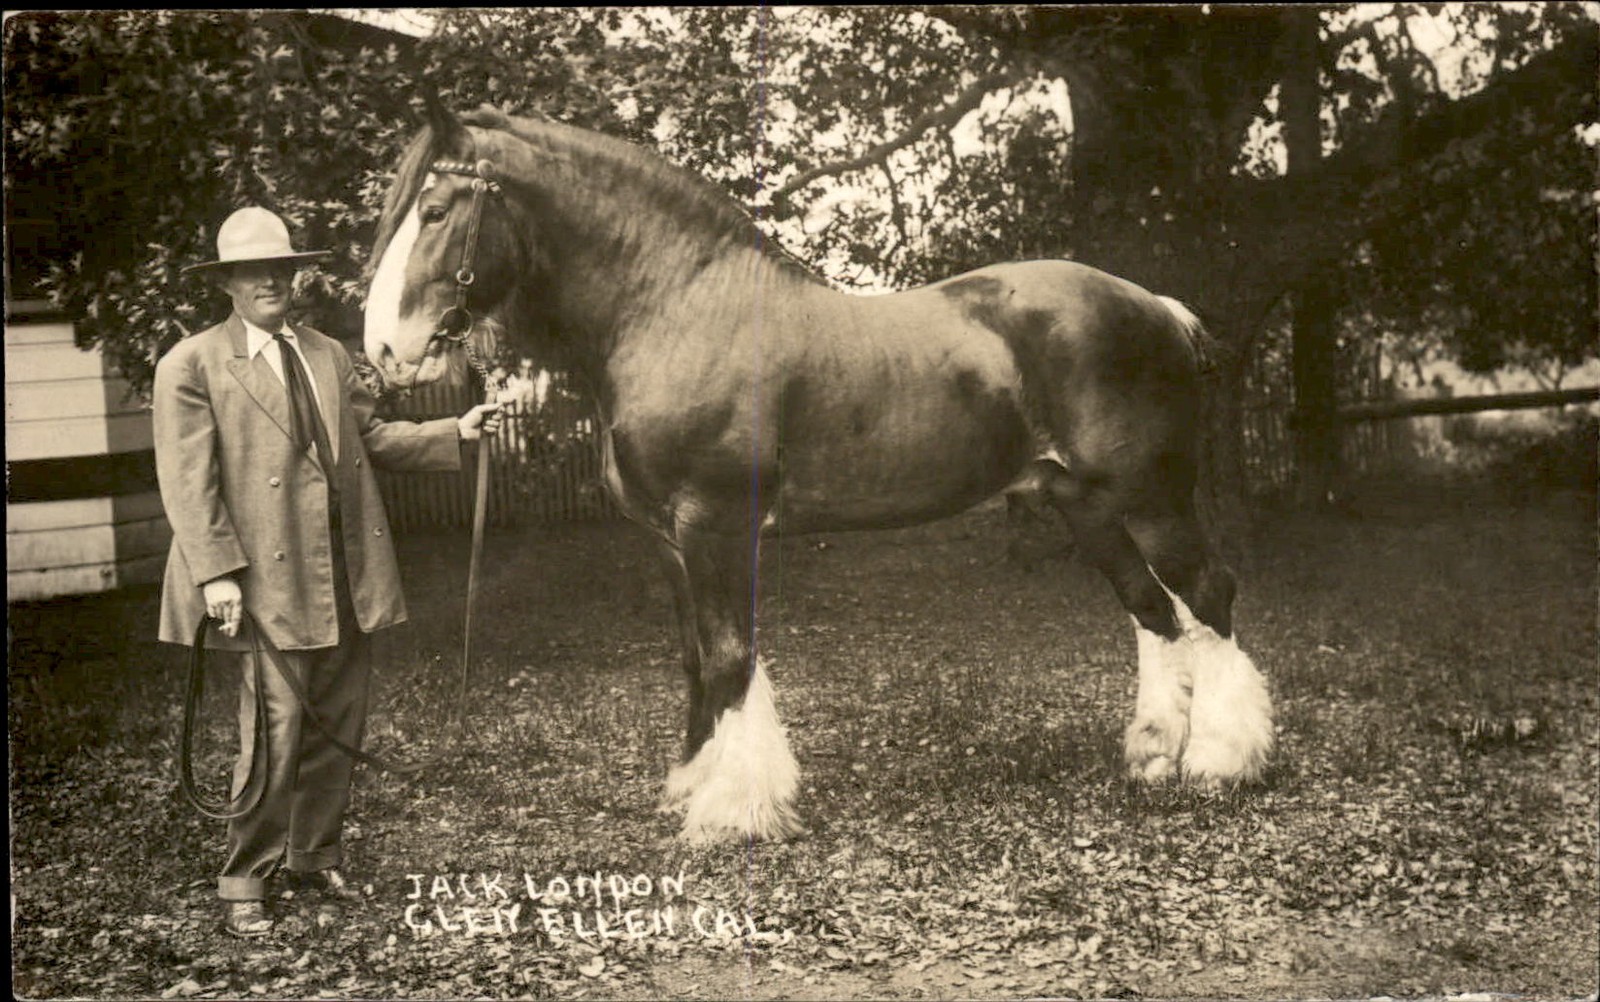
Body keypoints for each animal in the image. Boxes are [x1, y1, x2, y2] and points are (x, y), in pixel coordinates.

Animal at [362, 103, 1275, 843]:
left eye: (435, 211)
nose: (382, 351)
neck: (676, 308)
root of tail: (1156, 306)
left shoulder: (716, 526)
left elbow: (730, 658)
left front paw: (732, 811)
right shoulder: (668, 541)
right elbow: (696, 659)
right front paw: (693, 783)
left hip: (1152, 498)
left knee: (1209, 594)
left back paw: (1221, 763)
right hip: (1084, 506)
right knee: (1152, 610)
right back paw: (1154, 757)